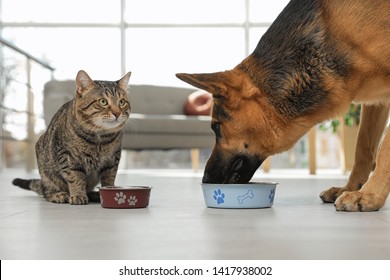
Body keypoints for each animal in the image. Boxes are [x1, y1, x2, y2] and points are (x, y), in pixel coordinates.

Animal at [12, 71, 132, 205]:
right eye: (103, 102)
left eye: (122, 102)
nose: (117, 113)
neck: (100, 137)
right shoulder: (67, 156)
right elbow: (75, 178)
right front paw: (78, 195)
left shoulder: (114, 158)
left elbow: (109, 178)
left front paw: (109, 192)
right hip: (45, 170)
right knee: (46, 191)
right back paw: (58, 194)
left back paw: (94, 194)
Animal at [178, 0, 390, 211]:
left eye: (216, 127)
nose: (206, 179)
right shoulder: (377, 102)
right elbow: (363, 147)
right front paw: (351, 188)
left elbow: (384, 151)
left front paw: (368, 195)